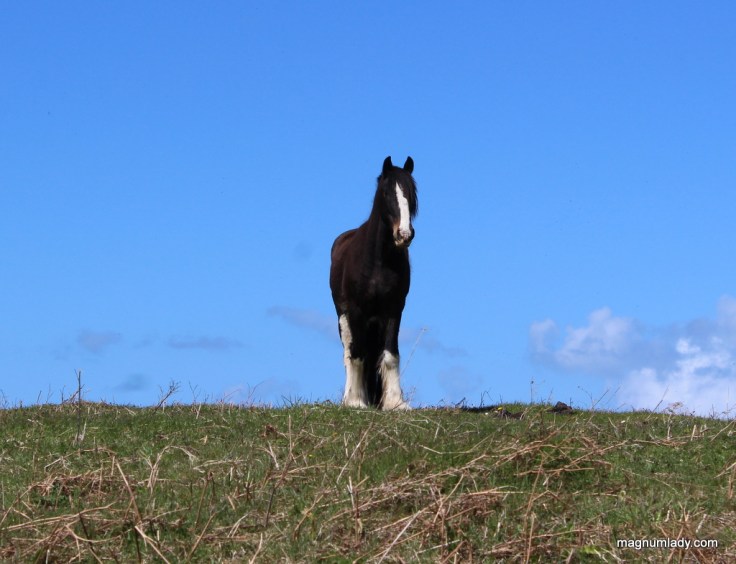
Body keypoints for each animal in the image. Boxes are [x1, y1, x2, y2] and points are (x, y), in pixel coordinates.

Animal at [329, 156, 418, 410]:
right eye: (387, 193)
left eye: (411, 194)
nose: (404, 234)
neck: (378, 261)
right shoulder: (356, 310)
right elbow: (357, 354)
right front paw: (356, 401)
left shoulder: (394, 309)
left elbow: (390, 355)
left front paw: (395, 402)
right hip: (344, 317)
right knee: (349, 352)